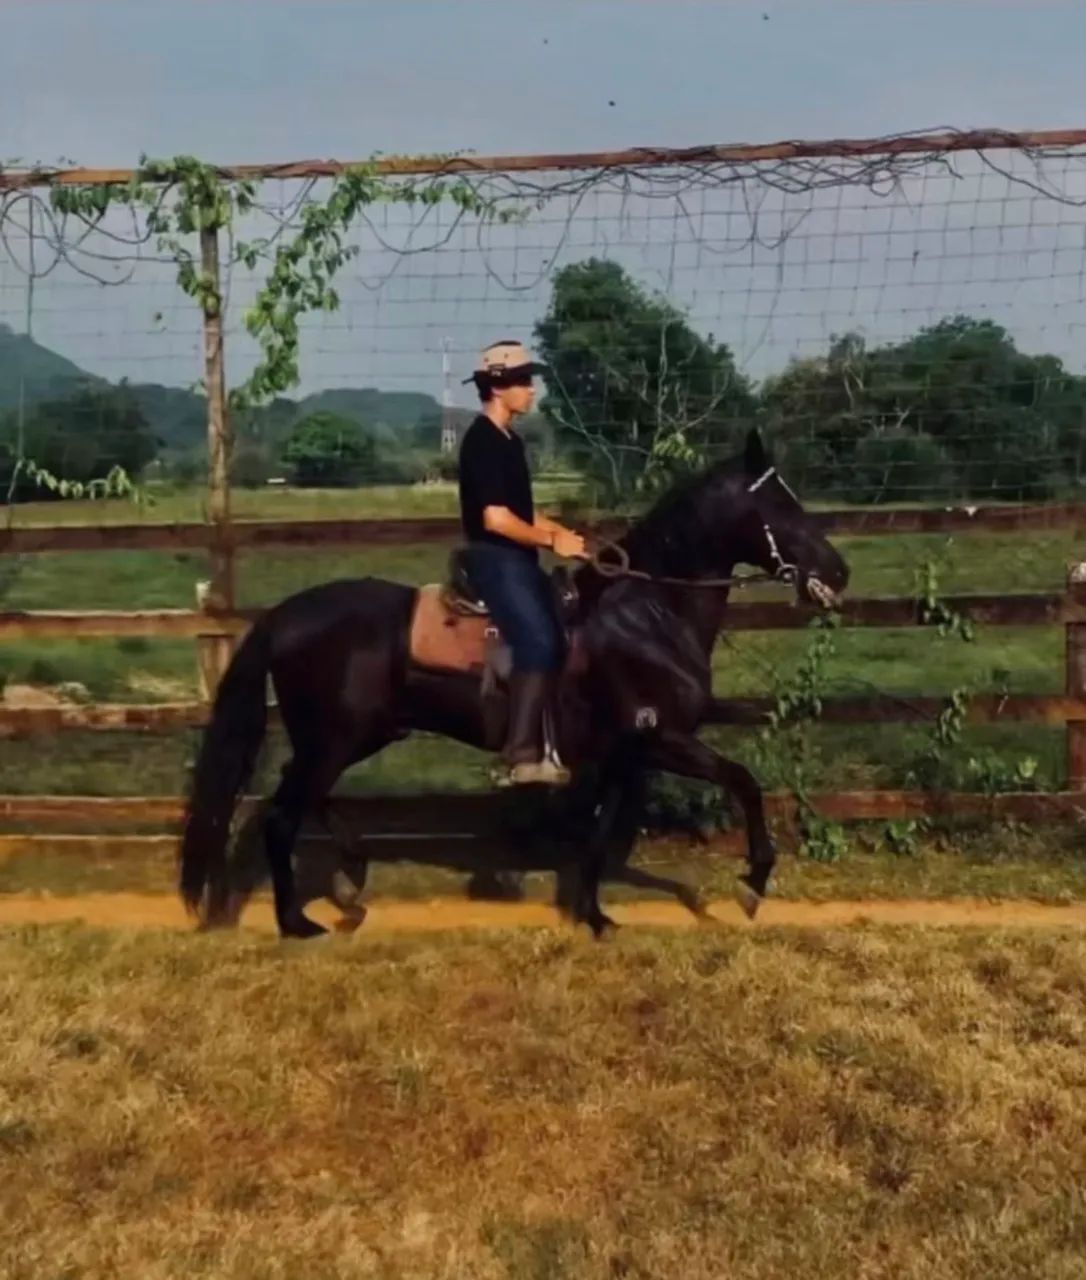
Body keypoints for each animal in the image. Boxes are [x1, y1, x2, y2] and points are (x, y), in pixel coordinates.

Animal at [177, 428, 849, 939]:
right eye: (780, 507)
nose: (839, 572)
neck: (647, 613)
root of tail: (286, 615)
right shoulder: (664, 740)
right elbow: (744, 782)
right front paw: (753, 884)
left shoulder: (625, 753)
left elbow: (600, 832)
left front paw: (593, 914)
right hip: (338, 738)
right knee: (281, 814)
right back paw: (298, 921)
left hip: (354, 736)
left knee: (302, 797)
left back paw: (349, 879)